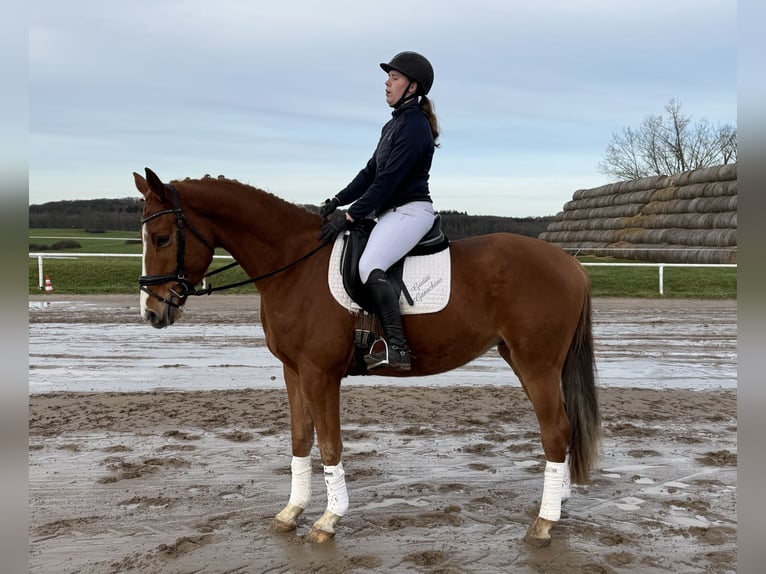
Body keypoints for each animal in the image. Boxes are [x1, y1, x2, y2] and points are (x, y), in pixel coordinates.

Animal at [132, 168, 604, 548]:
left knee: (556, 430)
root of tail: (571, 265)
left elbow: (330, 444)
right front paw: (291, 513)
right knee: (562, 428)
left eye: (161, 237)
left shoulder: (320, 374)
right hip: (526, 361)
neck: (293, 264)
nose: (152, 313)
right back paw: (558, 501)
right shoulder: (293, 371)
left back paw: (543, 523)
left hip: (536, 364)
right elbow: (300, 440)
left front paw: (328, 520)